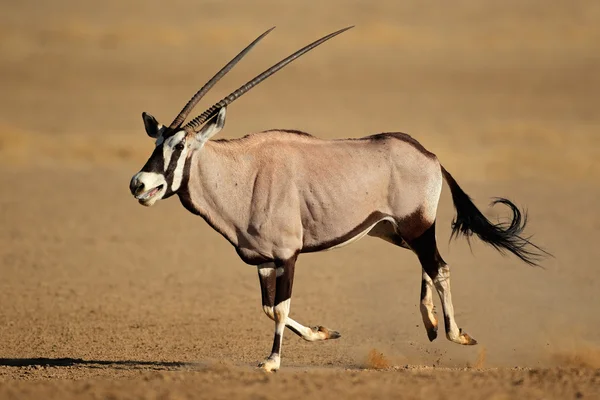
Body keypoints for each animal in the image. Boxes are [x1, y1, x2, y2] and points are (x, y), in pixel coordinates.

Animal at [129, 25, 548, 372]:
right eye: (156, 142)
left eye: (180, 146)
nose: (140, 184)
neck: (243, 173)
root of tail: (430, 155)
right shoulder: (262, 261)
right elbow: (268, 308)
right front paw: (322, 332)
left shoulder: (287, 255)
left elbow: (279, 308)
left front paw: (272, 362)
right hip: (392, 231)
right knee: (428, 265)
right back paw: (428, 321)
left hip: (415, 225)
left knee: (439, 267)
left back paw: (455, 333)